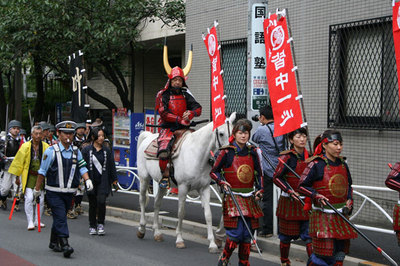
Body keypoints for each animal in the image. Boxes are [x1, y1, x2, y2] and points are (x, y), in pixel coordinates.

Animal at [136, 112, 236, 254]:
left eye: (233, 132)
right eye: (221, 133)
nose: (230, 152)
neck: (197, 154)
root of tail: (148, 136)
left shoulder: (204, 188)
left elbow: (208, 215)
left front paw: (212, 244)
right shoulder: (183, 187)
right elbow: (181, 212)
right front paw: (179, 239)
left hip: (162, 183)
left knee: (157, 203)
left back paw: (157, 232)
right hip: (144, 178)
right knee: (142, 200)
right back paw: (142, 229)